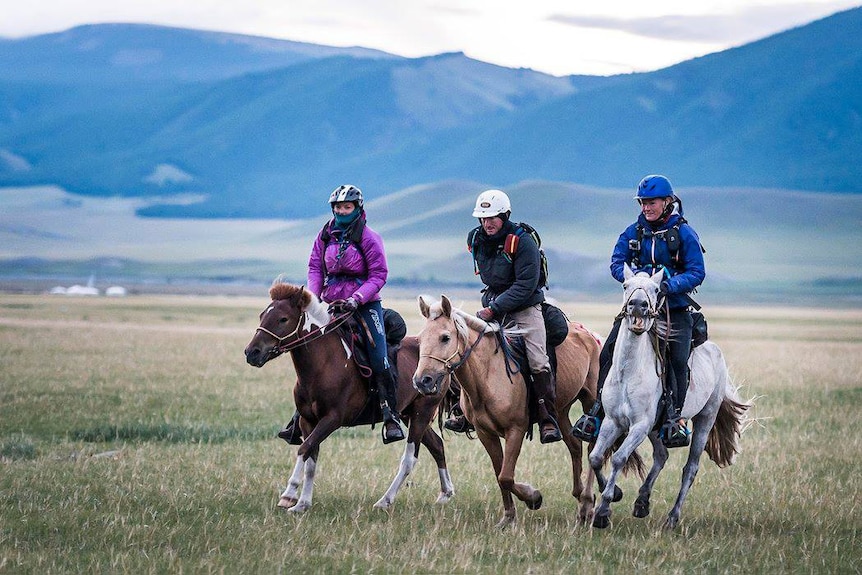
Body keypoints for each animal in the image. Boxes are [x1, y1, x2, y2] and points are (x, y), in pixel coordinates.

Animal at [245, 282, 456, 512]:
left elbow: (304, 449)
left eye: (283, 319)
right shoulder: (308, 421)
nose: (252, 352)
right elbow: (310, 458)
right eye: (262, 315)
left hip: (421, 413)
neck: (324, 363)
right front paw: (302, 503)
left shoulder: (332, 419)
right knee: (437, 445)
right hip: (409, 414)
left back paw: (385, 500)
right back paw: (445, 493)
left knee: (409, 459)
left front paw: (289, 494)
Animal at [416, 294, 604, 528]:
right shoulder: (485, 433)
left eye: (445, 337)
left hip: (590, 402)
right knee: (575, 446)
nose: (422, 381)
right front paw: (508, 517)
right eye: (420, 339)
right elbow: (500, 474)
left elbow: (506, 476)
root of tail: (591, 336)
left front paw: (533, 497)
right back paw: (580, 499)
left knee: (592, 447)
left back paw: (587, 503)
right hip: (560, 411)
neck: (488, 372)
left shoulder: (516, 430)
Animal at [592, 266, 752, 532]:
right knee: (661, 455)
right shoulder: (613, 421)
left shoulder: (640, 425)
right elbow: (596, 458)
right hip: (658, 428)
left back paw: (672, 517)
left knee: (691, 468)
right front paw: (614, 495)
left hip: (705, 419)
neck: (630, 372)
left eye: (657, 289)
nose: (638, 305)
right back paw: (642, 502)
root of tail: (715, 350)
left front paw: (603, 510)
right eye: (625, 285)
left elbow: (618, 458)